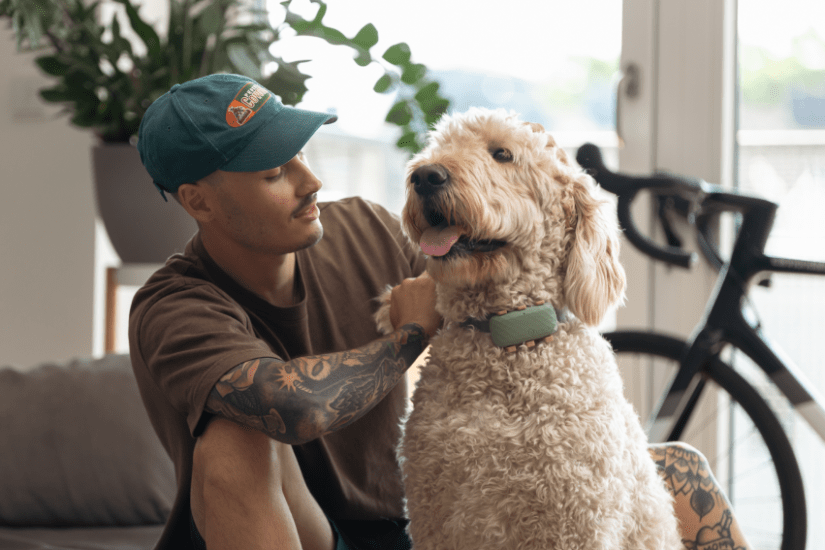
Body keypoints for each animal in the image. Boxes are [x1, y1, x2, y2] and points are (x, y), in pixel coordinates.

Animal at [374, 109, 684, 550]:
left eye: (502, 154)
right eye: (440, 146)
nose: (425, 176)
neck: (507, 341)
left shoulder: (576, 524)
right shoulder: (433, 519)